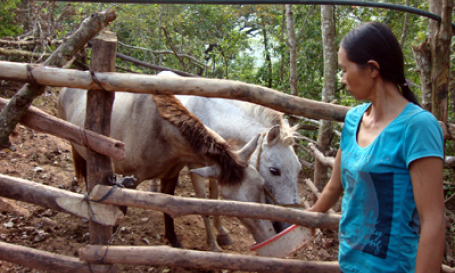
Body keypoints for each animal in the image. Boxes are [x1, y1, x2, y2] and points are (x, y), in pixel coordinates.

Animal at [57, 87, 278, 249]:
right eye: (231, 199)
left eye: (261, 184)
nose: (268, 235)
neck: (159, 131)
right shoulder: (130, 180)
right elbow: (122, 208)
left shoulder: (170, 176)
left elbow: (168, 207)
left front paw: (173, 239)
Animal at [159, 70, 304, 251]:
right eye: (274, 171)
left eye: (298, 169)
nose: (290, 224)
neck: (210, 119)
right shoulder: (196, 168)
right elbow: (202, 200)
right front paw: (212, 244)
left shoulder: (217, 168)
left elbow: (214, 198)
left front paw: (221, 232)